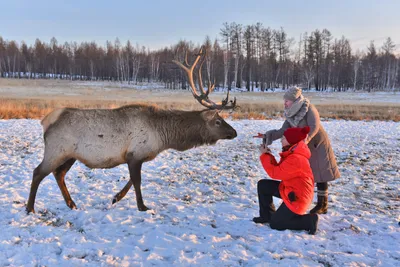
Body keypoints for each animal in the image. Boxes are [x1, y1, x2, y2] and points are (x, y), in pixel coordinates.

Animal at [26, 46, 238, 214]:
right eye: (218, 121)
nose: (234, 133)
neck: (163, 136)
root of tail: (46, 121)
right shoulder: (134, 155)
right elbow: (137, 181)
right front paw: (142, 206)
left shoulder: (134, 156)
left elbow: (130, 180)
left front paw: (116, 197)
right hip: (57, 150)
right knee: (38, 172)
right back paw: (30, 208)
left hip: (71, 155)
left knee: (58, 174)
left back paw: (71, 204)